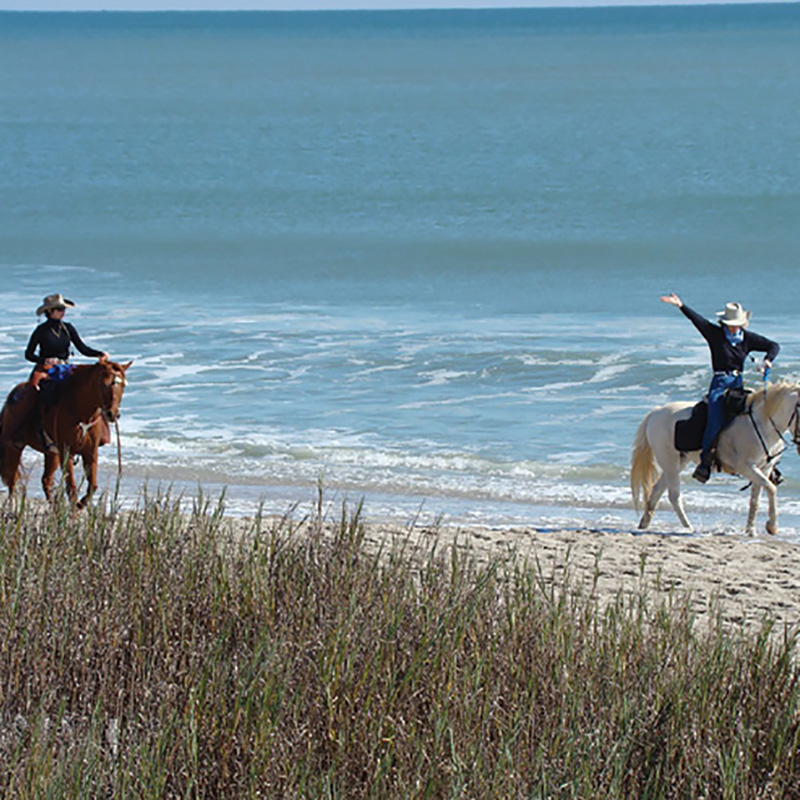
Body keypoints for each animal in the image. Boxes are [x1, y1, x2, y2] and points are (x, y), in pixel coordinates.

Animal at [0, 360, 131, 506]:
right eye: (102, 383)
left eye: (123, 385)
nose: (112, 414)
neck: (82, 415)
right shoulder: (67, 452)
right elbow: (71, 488)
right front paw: (75, 508)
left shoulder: (90, 452)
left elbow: (92, 486)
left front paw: (80, 505)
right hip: (14, 447)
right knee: (12, 481)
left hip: (52, 454)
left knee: (46, 480)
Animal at [632, 382, 800, 536]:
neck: (762, 423)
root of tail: (656, 412)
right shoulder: (747, 467)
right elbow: (771, 488)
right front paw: (772, 526)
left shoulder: (764, 469)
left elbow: (756, 499)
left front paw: (751, 530)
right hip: (669, 461)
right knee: (674, 495)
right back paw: (689, 528)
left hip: (680, 461)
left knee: (657, 490)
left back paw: (644, 524)